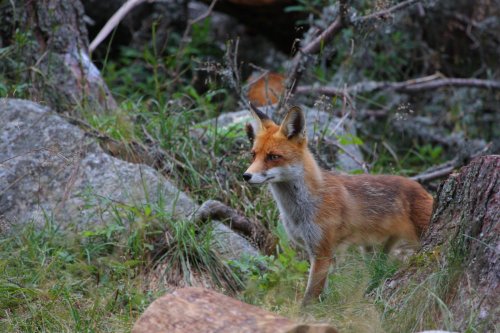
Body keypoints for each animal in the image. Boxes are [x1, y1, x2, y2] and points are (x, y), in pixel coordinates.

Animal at [242, 104, 434, 304]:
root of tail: (421, 187)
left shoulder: (322, 252)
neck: (300, 209)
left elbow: (310, 297)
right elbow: (321, 293)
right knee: (378, 272)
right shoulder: (316, 251)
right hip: (371, 250)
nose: (245, 176)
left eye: (273, 156)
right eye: (253, 155)